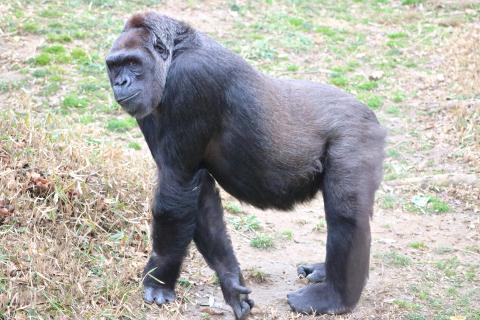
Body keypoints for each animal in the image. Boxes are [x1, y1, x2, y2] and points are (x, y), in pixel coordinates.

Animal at [106, 11, 386, 320]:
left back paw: (335, 296)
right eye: (114, 66)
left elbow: (176, 189)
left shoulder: (191, 80)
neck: (176, 52)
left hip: (359, 135)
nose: (120, 83)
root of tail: (371, 114)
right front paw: (230, 282)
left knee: (346, 214)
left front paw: (159, 279)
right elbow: (198, 194)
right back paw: (323, 272)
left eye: (133, 62)